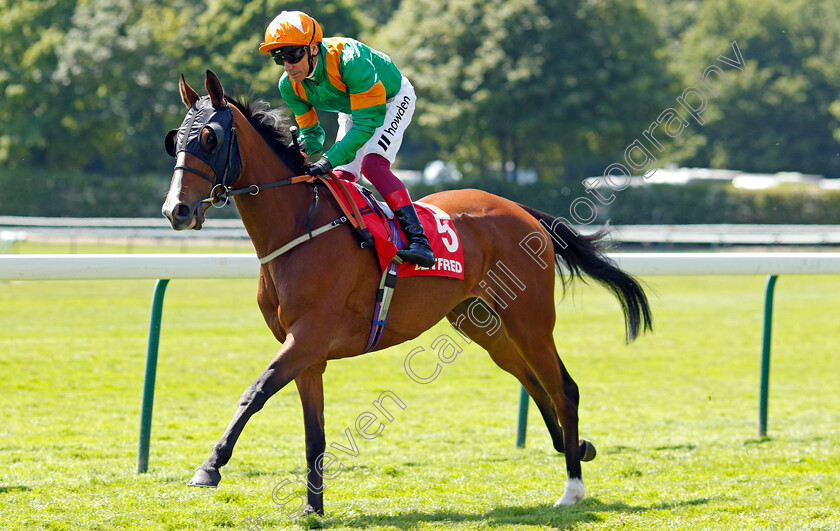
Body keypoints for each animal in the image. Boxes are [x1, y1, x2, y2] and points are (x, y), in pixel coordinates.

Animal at [161, 70, 652, 516]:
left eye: (209, 137)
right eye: (175, 140)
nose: (176, 210)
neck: (301, 227)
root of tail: (520, 210)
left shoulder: (308, 338)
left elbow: (255, 392)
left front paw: (209, 467)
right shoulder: (307, 353)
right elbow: (313, 431)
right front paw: (313, 509)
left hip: (530, 320)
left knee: (563, 388)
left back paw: (572, 488)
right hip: (483, 323)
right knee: (533, 382)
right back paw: (578, 446)